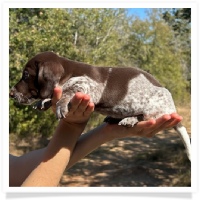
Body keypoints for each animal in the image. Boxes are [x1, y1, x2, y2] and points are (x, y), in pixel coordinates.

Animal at [10, 51, 191, 161]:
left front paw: (60, 103)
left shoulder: (87, 86)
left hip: (153, 107)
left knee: (143, 116)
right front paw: (44, 101)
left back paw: (130, 119)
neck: (68, 73)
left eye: (26, 75)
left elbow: (68, 92)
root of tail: (172, 107)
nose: (11, 93)